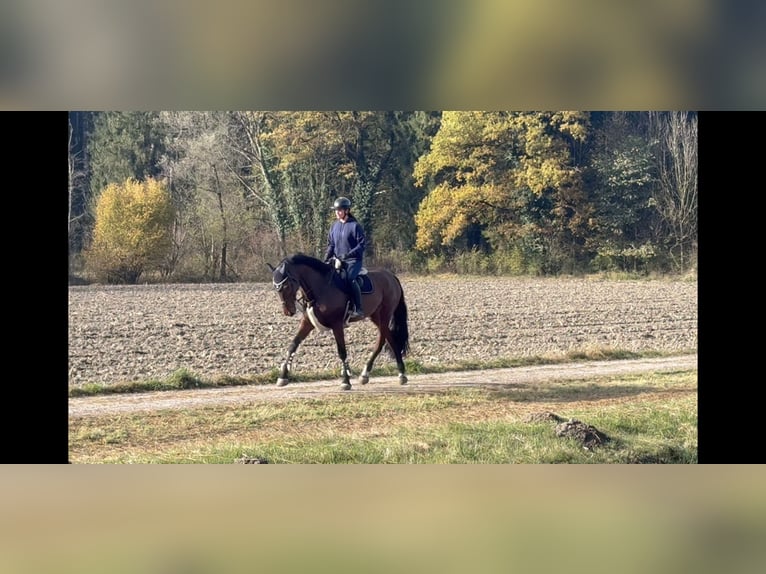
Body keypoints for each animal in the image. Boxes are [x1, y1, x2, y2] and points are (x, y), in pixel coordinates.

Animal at [268, 255, 412, 394]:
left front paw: (345, 381)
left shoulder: (337, 324)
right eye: (275, 287)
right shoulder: (307, 323)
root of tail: (390, 275)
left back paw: (390, 373)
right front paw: (282, 377)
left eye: (286, 286)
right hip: (375, 316)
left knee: (386, 339)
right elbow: (293, 345)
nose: (288, 311)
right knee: (387, 338)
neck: (320, 288)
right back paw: (380, 373)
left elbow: (342, 352)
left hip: (385, 314)